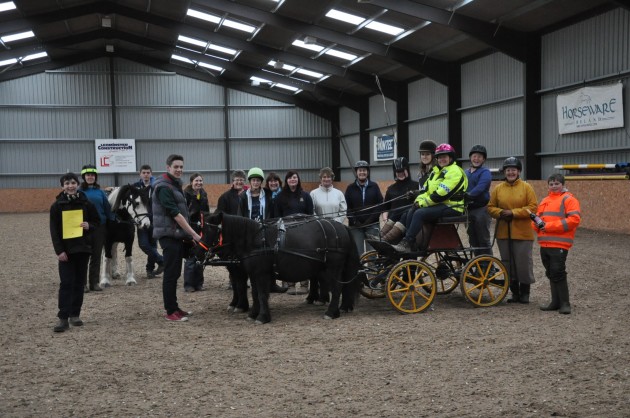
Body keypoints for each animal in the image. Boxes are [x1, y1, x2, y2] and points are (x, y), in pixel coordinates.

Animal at [200, 212, 362, 324]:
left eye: (210, 230)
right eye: (201, 228)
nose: (199, 248)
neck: (256, 240)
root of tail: (342, 227)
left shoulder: (262, 273)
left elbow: (261, 294)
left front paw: (262, 317)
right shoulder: (253, 273)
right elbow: (255, 293)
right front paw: (253, 314)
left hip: (333, 268)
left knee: (336, 288)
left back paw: (331, 312)